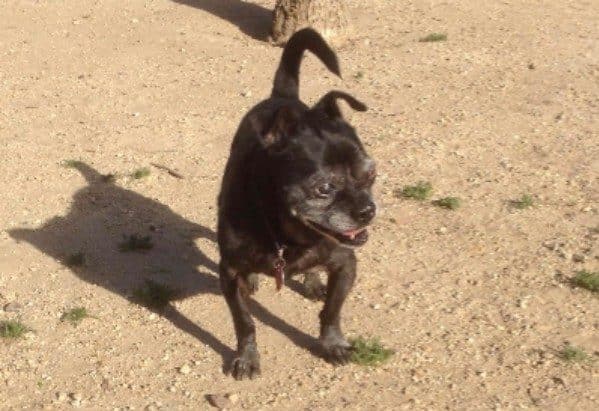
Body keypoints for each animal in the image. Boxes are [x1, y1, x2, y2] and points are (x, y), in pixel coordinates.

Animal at [217, 29, 376, 382]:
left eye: (370, 175)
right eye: (323, 188)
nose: (367, 211)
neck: (287, 239)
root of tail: (284, 97)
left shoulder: (346, 265)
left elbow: (332, 312)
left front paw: (333, 343)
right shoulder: (229, 275)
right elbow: (245, 323)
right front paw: (247, 357)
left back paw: (313, 278)